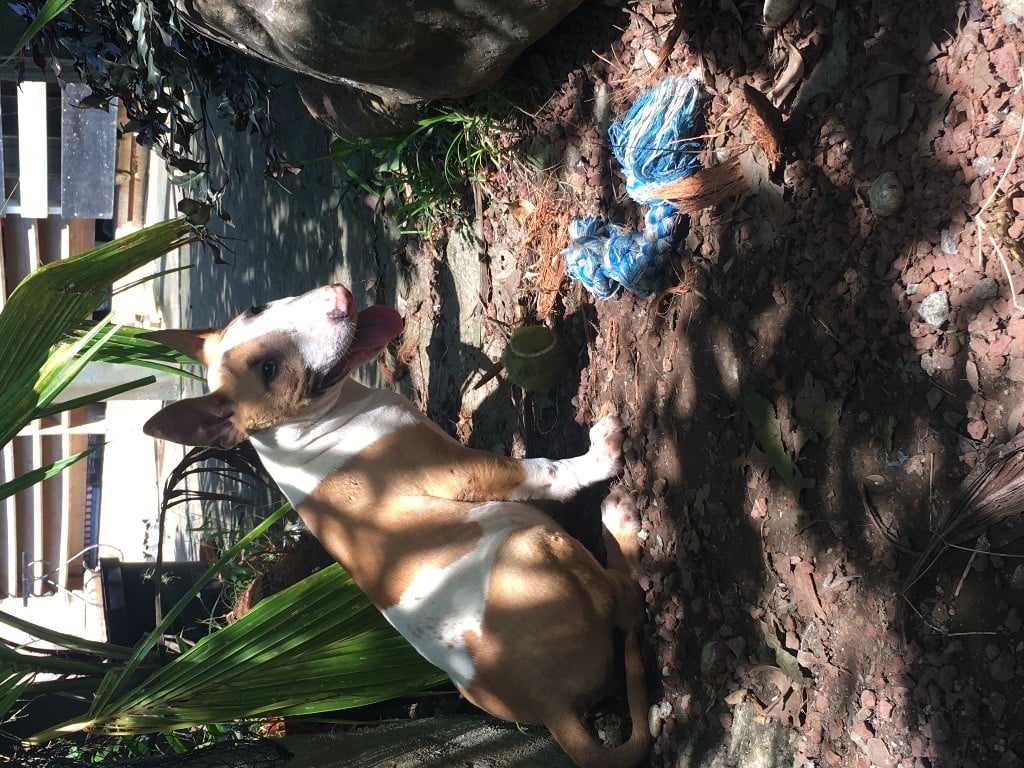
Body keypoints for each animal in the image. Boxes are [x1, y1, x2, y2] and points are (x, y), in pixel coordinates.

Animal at [143, 284, 650, 767]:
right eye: (267, 368)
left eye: (256, 307)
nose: (341, 298)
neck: (303, 430)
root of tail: (550, 710)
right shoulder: (459, 470)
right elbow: (540, 470)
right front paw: (596, 460)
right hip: (528, 542)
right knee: (626, 602)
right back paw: (619, 521)